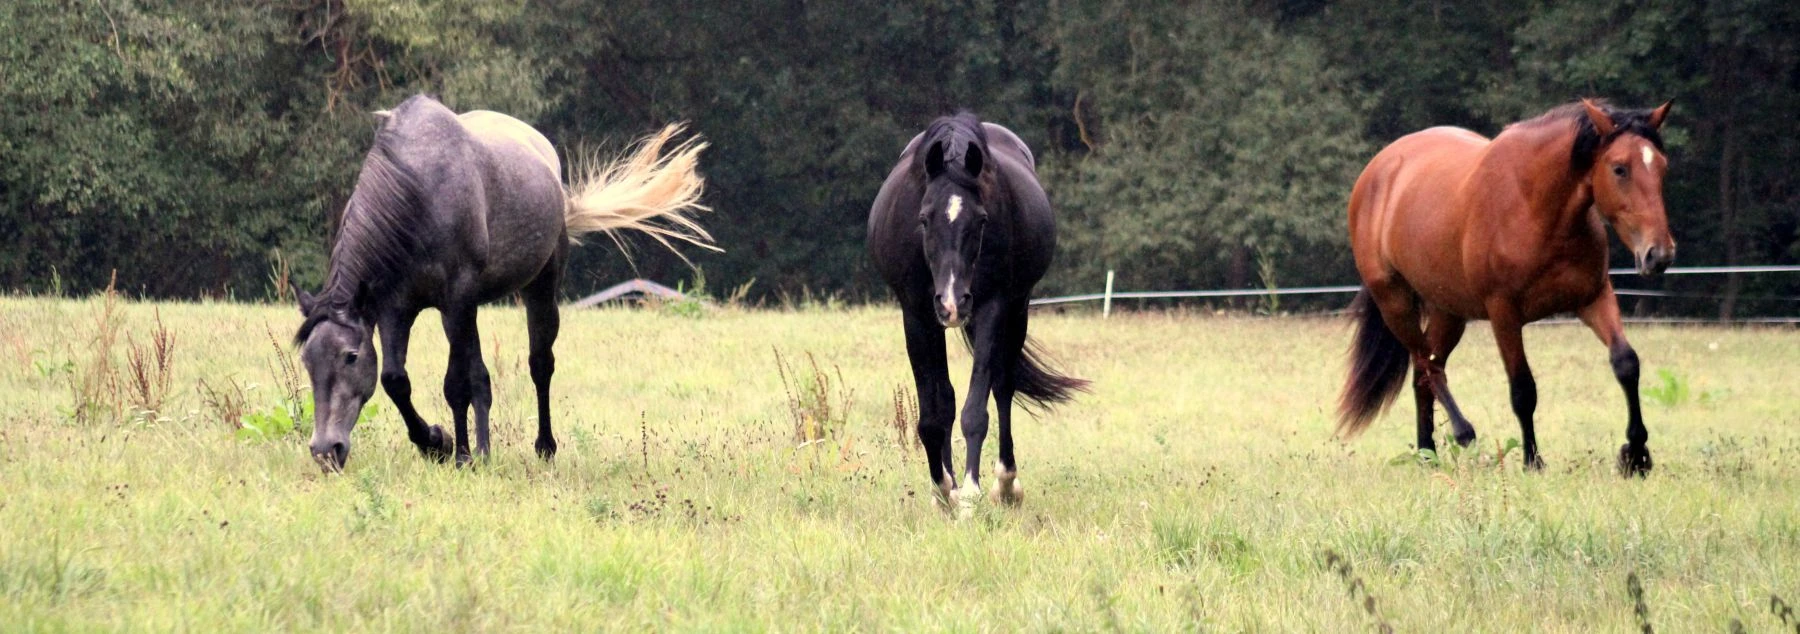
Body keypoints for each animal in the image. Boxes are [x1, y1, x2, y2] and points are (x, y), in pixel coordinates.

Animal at [297, 94, 716, 471]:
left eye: (350, 357)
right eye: (306, 360)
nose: (325, 450)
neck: (419, 192)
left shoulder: (456, 301)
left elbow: (457, 385)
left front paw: (463, 455)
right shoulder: (396, 308)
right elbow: (397, 380)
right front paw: (437, 443)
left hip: (538, 292)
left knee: (539, 365)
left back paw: (541, 447)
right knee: (480, 376)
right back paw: (479, 450)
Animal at [867, 112, 1087, 511]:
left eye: (981, 220)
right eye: (924, 218)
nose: (953, 302)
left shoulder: (992, 308)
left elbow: (976, 410)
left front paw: (970, 493)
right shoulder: (917, 315)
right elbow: (934, 413)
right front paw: (944, 490)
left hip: (1018, 311)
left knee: (1002, 388)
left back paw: (1006, 484)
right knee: (949, 398)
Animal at [1339, 99, 1670, 475]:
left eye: (1662, 167)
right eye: (1619, 169)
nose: (1659, 254)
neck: (1535, 208)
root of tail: (1377, 170)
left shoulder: (1594, 298)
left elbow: (1626, 363)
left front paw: (1636, 454)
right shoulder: (1503, 313)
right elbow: (1523, 389)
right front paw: (1533, 461)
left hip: (1448, 311)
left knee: (1424, 372)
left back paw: (1427, 453)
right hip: (1395, 303)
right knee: (1428, 366)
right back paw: (1463, 433)